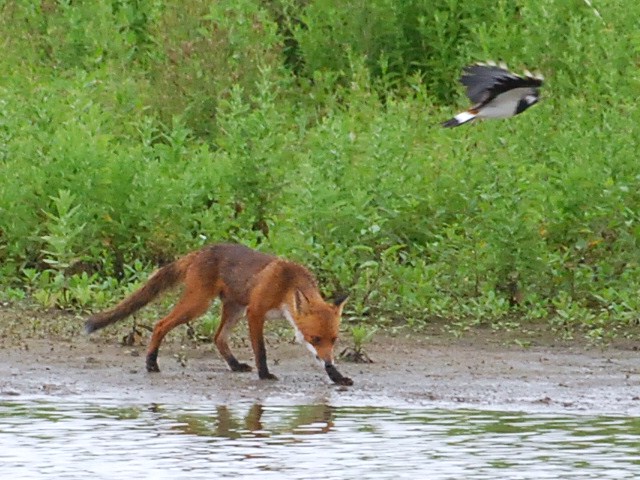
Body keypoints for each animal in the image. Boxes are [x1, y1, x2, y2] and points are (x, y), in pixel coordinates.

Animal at [84, 244, 352, 386]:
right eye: (315, 338)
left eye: (334, 339)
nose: (330, 363)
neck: (287, 284)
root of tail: (200, 251)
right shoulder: (255, 313)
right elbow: (261, 351)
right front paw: (264, 374)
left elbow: (318, 359)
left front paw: (337, 376)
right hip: (199, 305)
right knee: (160, 324)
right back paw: (151, 363)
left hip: (233, 308)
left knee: (218, 337)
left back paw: (234, 365)